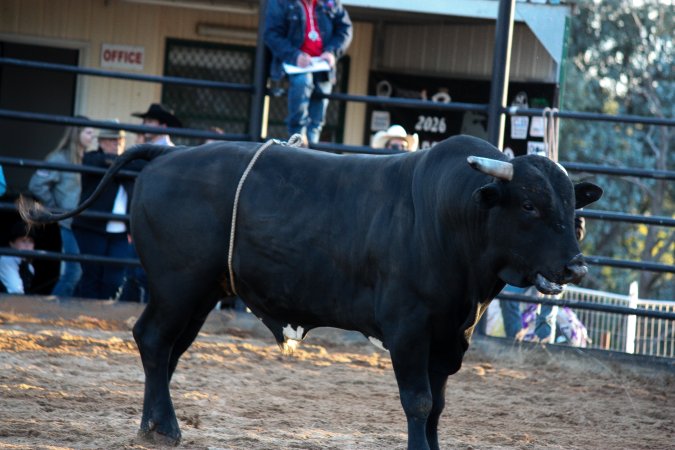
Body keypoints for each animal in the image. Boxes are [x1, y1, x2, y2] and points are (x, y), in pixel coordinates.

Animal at [20, 135, 602, 450]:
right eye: (528, 204)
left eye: (573, 206)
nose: (575, 264)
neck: (451, 216)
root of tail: (168, 156)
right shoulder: (409, 329)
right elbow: (417, 401)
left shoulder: (450, 335)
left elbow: (437, 404)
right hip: (177, 285)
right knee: (153, 340)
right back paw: (162, 426)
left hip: (200, 292)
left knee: (166, 350)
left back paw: (153, 425)